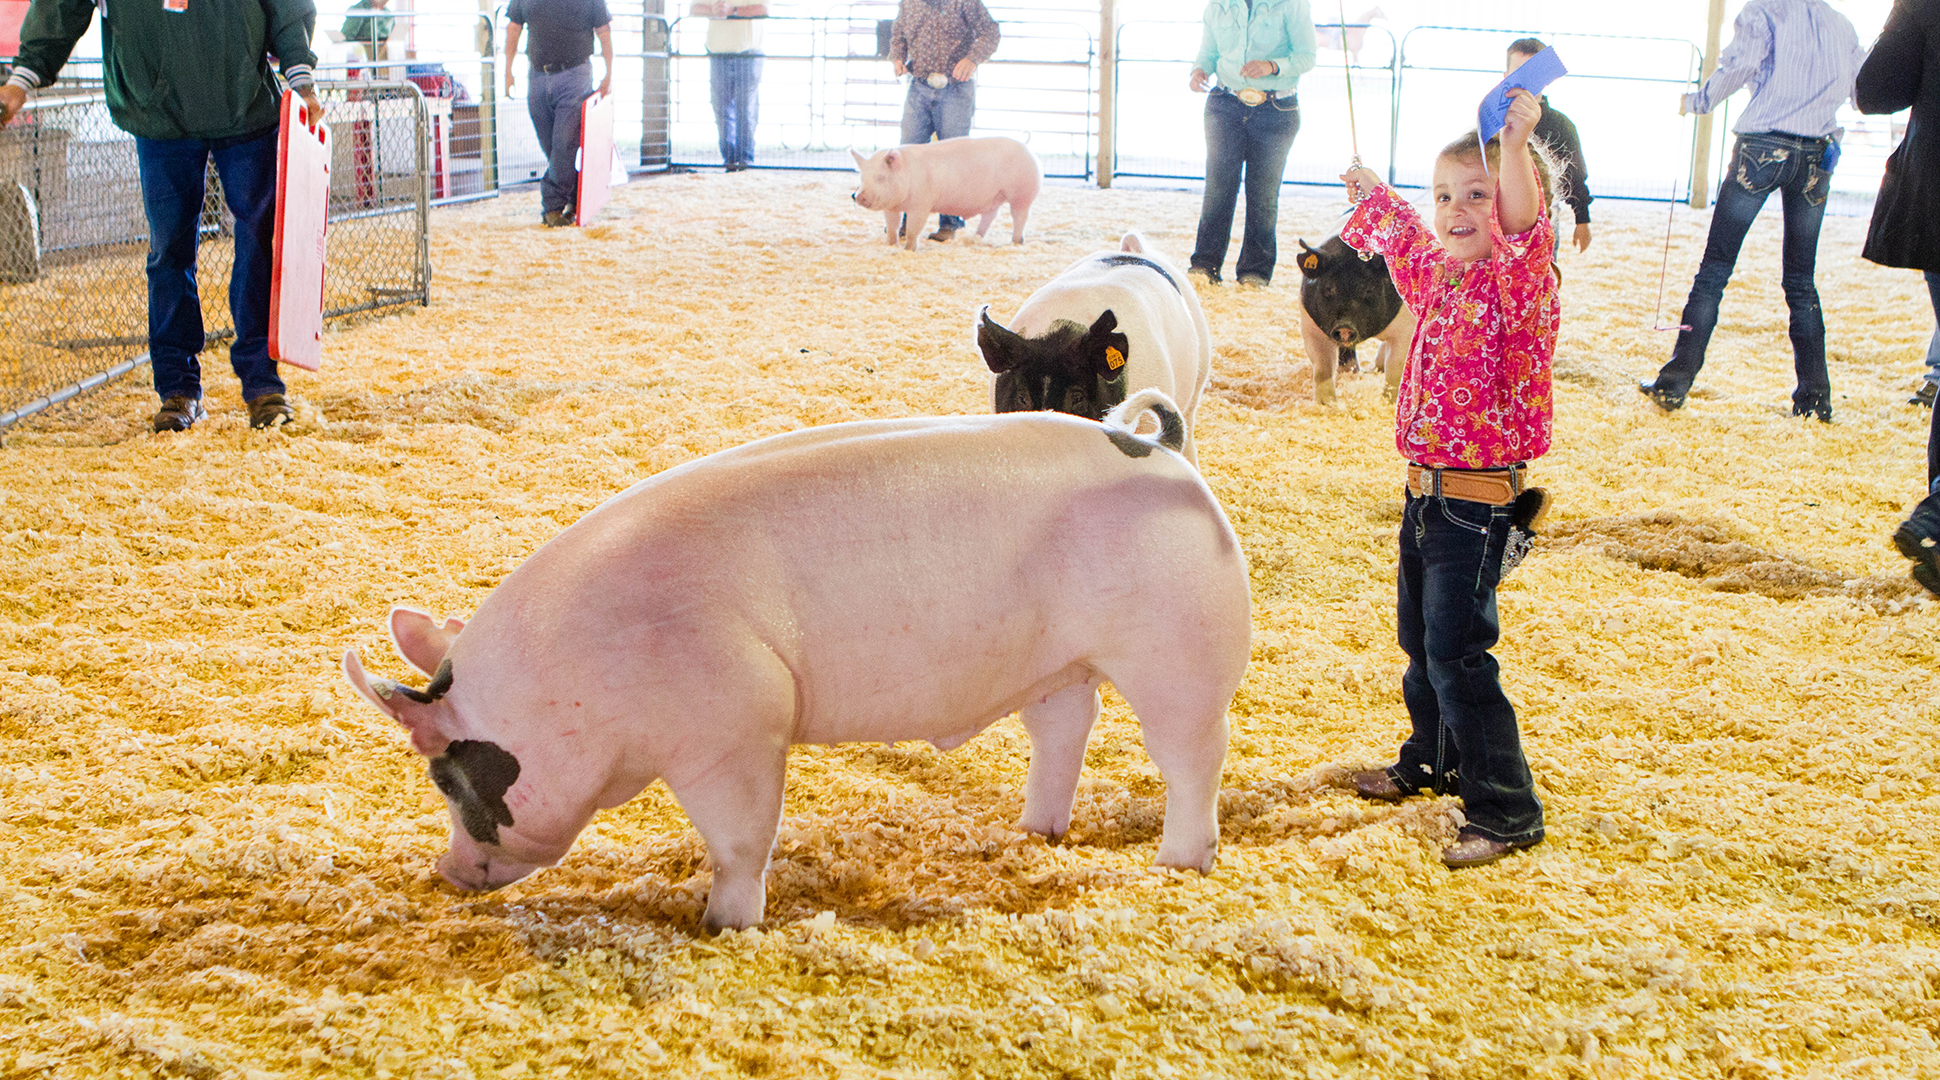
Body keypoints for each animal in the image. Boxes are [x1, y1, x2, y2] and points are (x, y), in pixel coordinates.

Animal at [345, 391, 1257, 930]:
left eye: (450, 778)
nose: (446, 871)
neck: (576, 677)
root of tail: (1167, 453)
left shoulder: (739, 725)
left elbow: (741, 839)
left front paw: (723, 926)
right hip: (1059, 663)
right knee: (1067, 727)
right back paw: (1035, 833)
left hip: (1181, 651)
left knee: (1192, 755)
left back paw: (1180, 864)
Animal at [845, 134, 1039, 250]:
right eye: (862, 177)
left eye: (880, 177)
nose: (857, 196)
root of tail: (1027, 147)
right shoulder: (891, 207)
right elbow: (893, 227)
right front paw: (890, 245)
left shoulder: (921, 205)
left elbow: (913, 230)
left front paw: (908, 250)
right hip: (994, 197)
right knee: (990, 216)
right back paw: (975, 237)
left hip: (1023, 194)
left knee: (1020, 217)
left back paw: (1016, 242)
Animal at [1295, 234, 1420, 403]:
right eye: (1328, 289)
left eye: (1368, 290)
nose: (1344, 326)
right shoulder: (1311, 328)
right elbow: (1322, 367)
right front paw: (1326, 403)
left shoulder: (1405, 328)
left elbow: (1396, 366)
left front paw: (1390, 401)